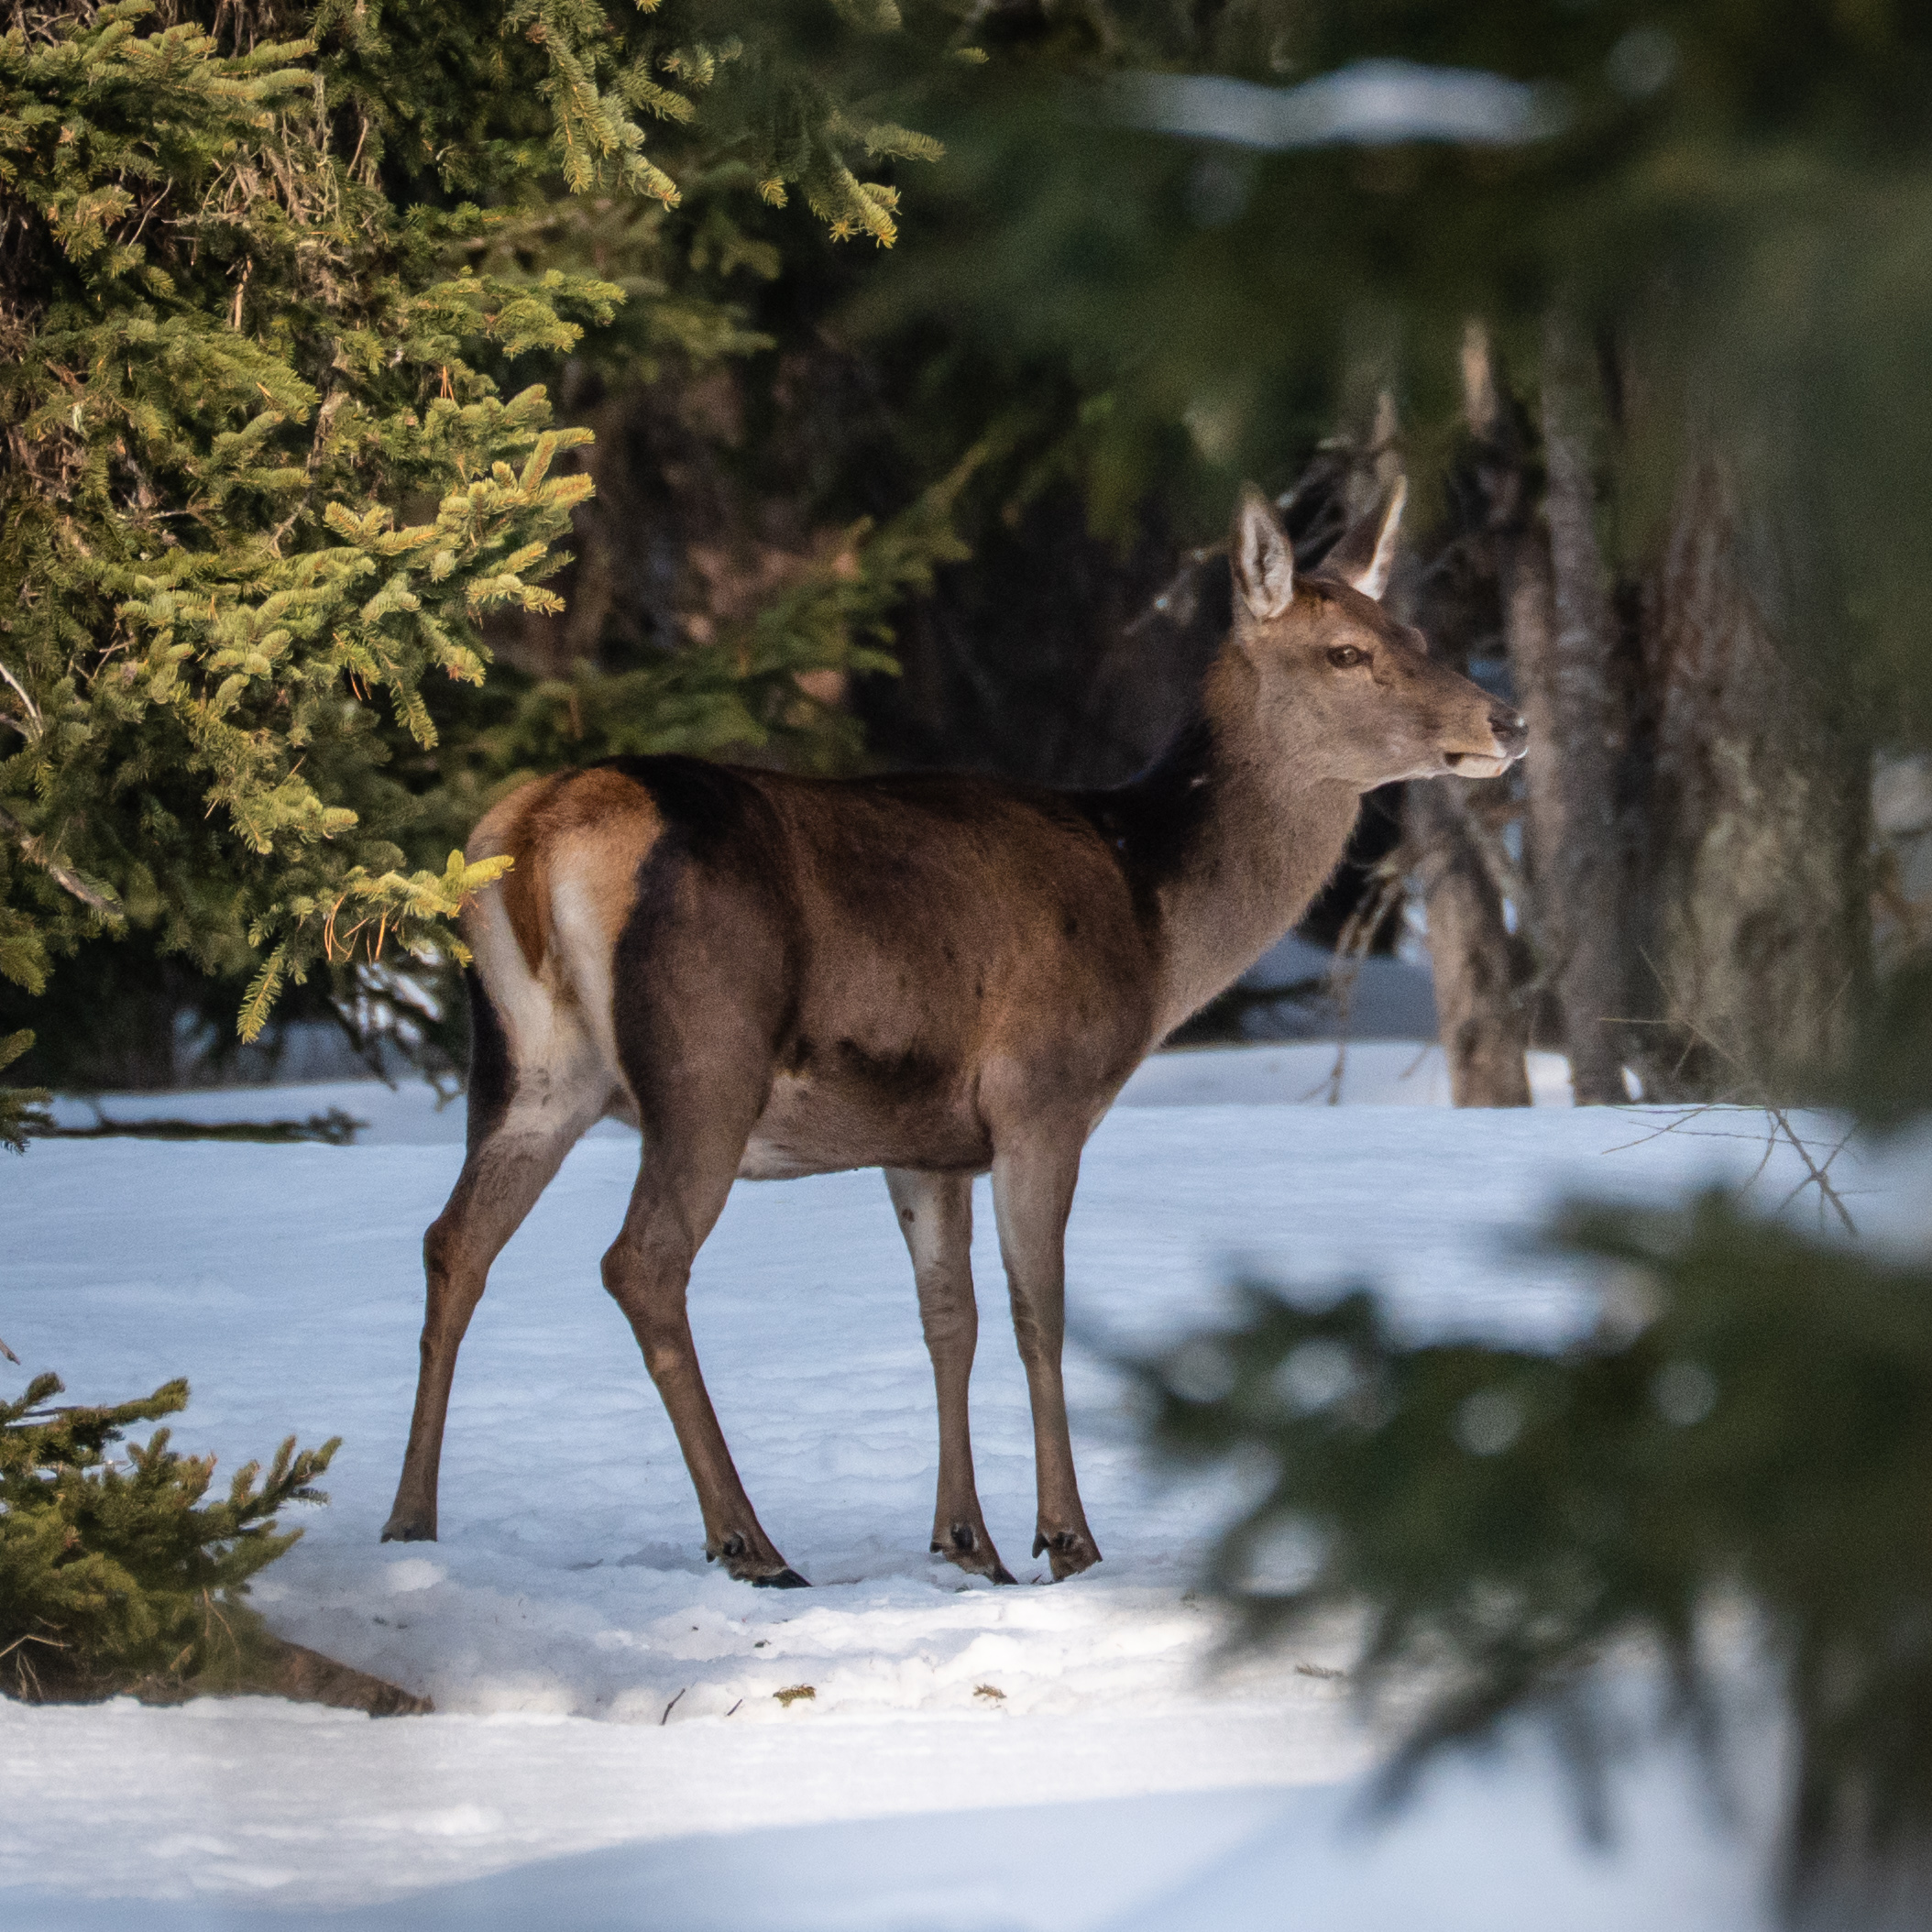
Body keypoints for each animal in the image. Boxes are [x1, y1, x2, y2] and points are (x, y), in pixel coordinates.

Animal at [381, 482, 1527, 1586]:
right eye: (1345, 652)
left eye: (1412, 630)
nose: (1506, 718)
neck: (1152, 922)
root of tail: (535, 835)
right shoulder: (1040, 1094)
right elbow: (1037, 1311)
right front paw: (1065, 1536)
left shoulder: (923, 1140)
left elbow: (949, 1316)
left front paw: (964, 1538)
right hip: (705, 1058)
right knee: (640, 1261)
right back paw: (750, 1541)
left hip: (528, 1070)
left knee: (452, 1240)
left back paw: (411, 1521)